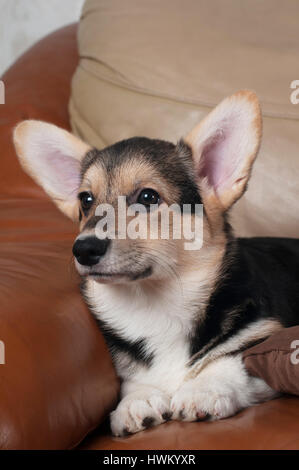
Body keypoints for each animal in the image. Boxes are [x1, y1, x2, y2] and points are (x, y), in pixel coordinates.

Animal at [12, 91, 299, 436]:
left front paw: (203, 388)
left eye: (148, 197)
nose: (83, 249)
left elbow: (231, 360)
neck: (155, 304)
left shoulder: (263, 335)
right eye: (86, 200)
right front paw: (138, 399)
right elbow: (133, 381)